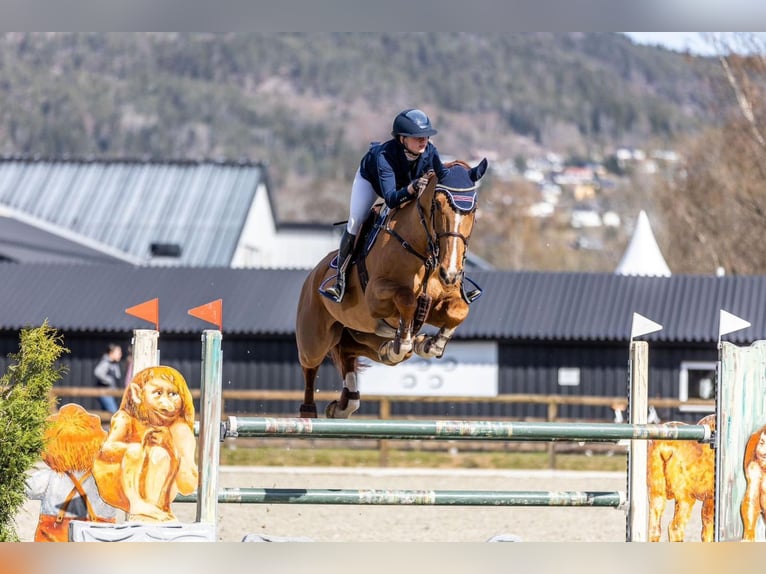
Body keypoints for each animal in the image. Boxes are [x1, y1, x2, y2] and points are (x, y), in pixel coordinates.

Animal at [296, 160, 488, 420]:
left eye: (473, 209)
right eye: (437, 205)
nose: (450, 273)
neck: (424, 252)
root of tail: (313, 274)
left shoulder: (440, 304)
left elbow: (458, 312)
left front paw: (429, 344)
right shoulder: (376, 297)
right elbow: (407, 299)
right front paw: (411, 341)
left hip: (362, 334)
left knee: (349, 351)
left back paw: (348, 400)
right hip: (314, 338)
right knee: (310, 366)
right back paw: (309, 412)